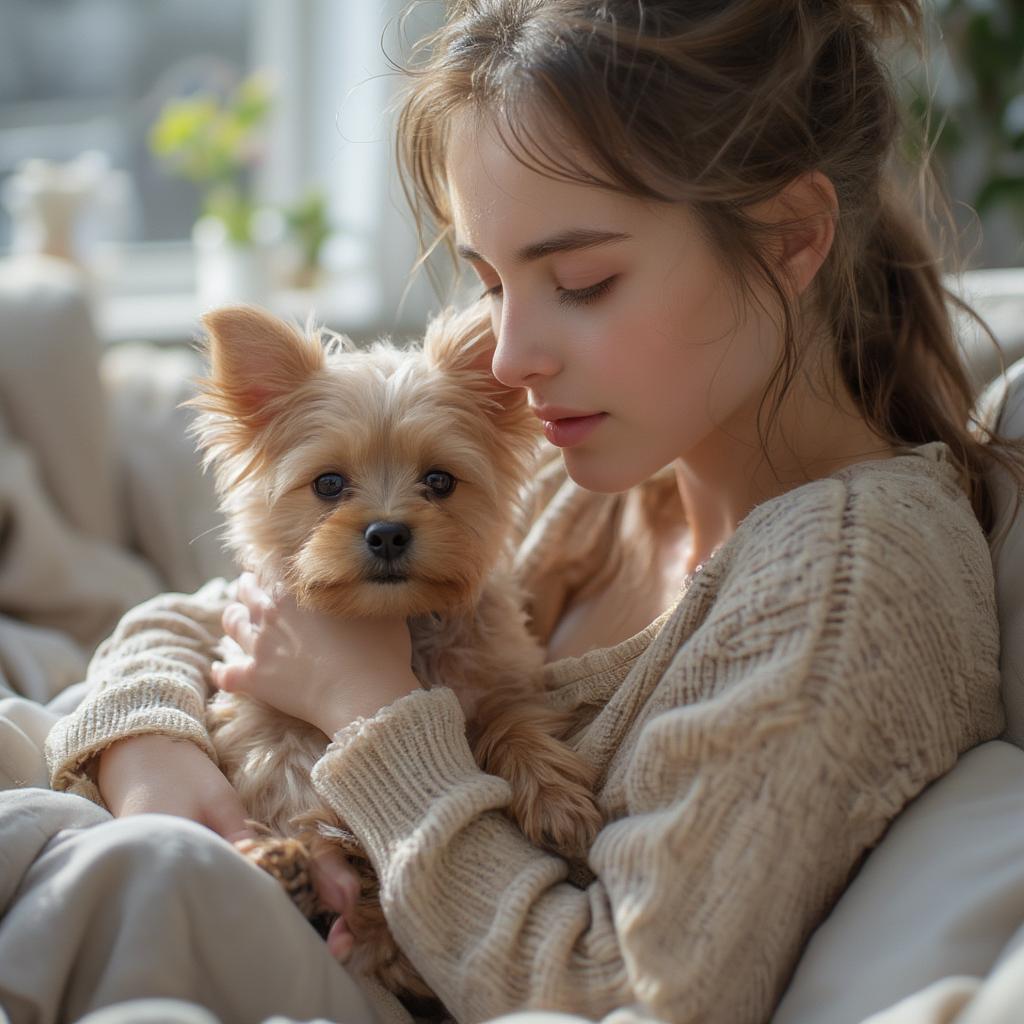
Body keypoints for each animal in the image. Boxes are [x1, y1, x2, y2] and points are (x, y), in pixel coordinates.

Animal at [186, 303, 598, 1007]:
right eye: (327, 484)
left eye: (440, 481)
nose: (386, 532)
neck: (398, 624)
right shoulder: (256, 709)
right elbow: (288, 766)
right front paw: (308, 850)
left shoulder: (505, 675)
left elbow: (514, 719)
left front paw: (554, 799)